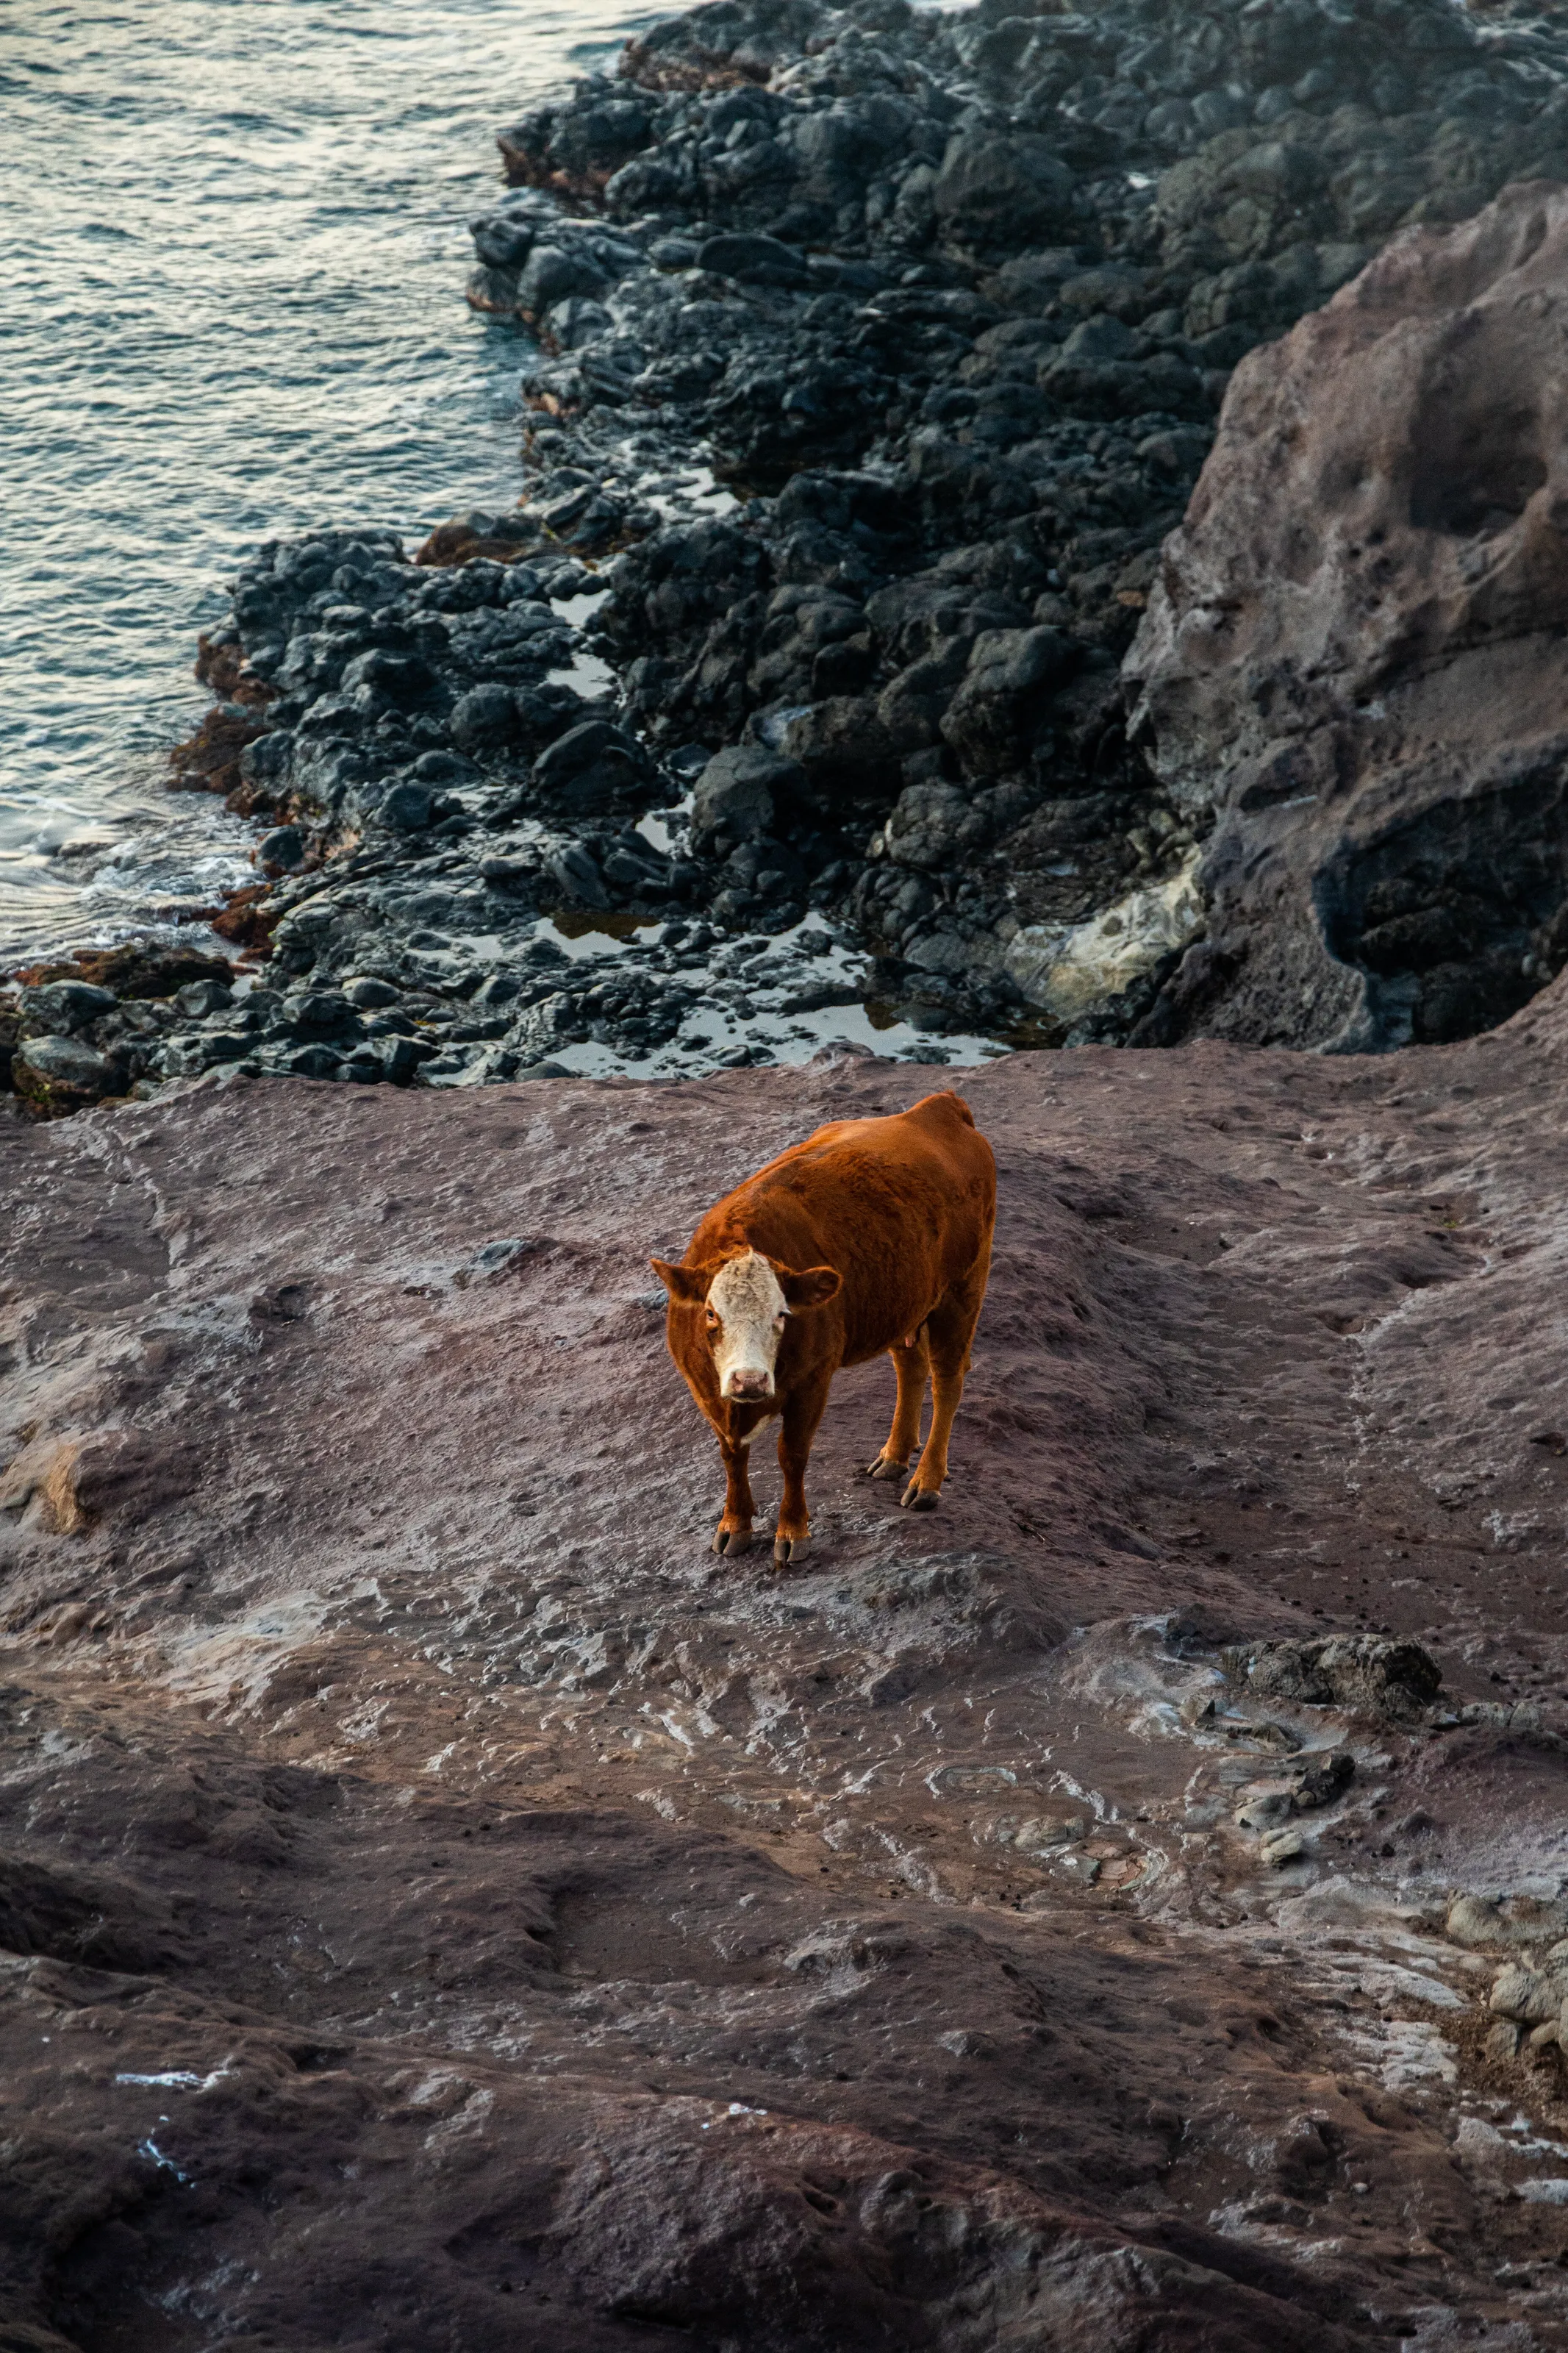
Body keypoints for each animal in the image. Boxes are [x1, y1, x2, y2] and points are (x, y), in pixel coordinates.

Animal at [651, 1091, 996, 1566]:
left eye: (783, 1314)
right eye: (710, 1314)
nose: (749, 1380)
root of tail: (938, 1107)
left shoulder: (813, 1381)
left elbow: (791, 1456)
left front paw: (793, 1532)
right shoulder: (707, 1391)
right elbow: (732, 1456)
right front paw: (734, 1525)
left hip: (962, 1292)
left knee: (947, 1380)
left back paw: (926, 1482)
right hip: (902, 1300)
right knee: (910, 1367)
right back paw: (894, 1456)